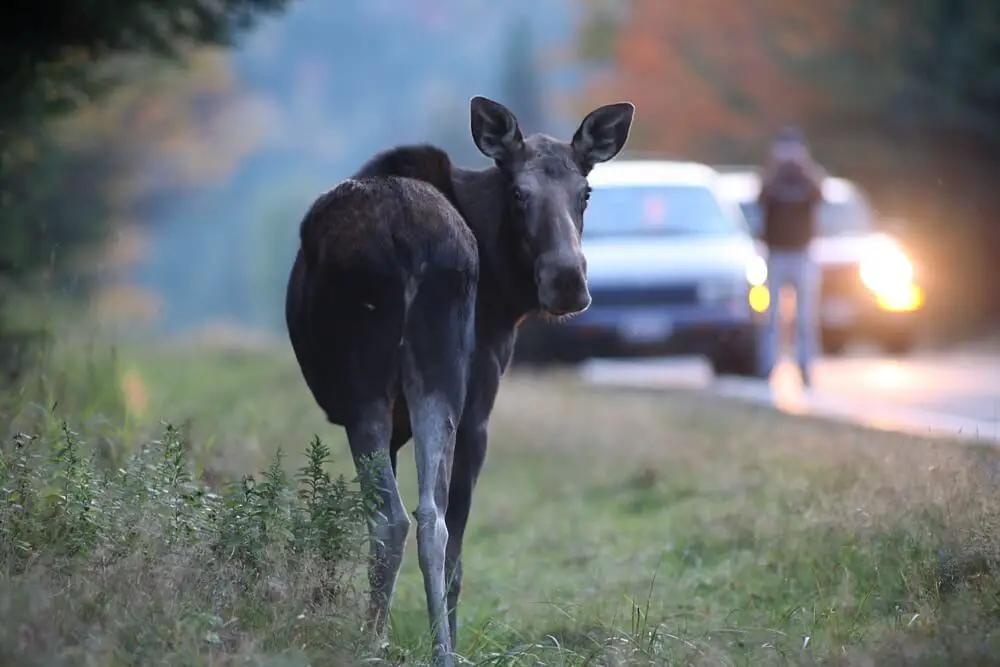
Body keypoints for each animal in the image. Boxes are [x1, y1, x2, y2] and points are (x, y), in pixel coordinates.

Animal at [286, 94, 636, 664]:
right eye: (518, 193)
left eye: (585, 191)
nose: (567, 280)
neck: (509, 295)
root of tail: (407, 237)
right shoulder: (473, 406)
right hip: (439, 382)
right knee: (434, 520)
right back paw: (440, 650)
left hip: (370, 389)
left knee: (393, 517)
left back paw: (374, 642)